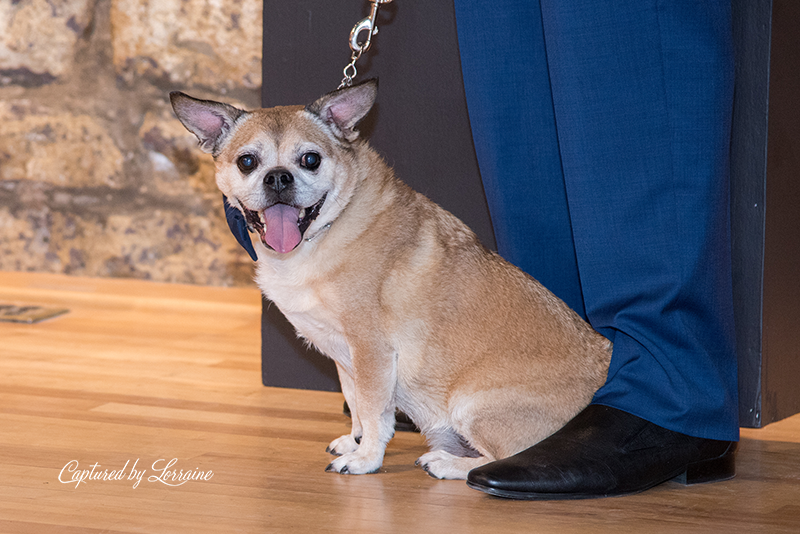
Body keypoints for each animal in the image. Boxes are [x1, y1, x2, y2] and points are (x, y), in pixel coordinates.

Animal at [170, 80, 612, 482]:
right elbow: (356, 404)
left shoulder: (372, 351)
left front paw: (366, 459)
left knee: (501, 459)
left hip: (472, 406)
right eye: (247, 162)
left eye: (310, 159)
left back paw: (448, 463)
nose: (278, 178)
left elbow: (375, 413)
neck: (324, 233)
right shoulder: (345, 357)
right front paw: (355, 441)